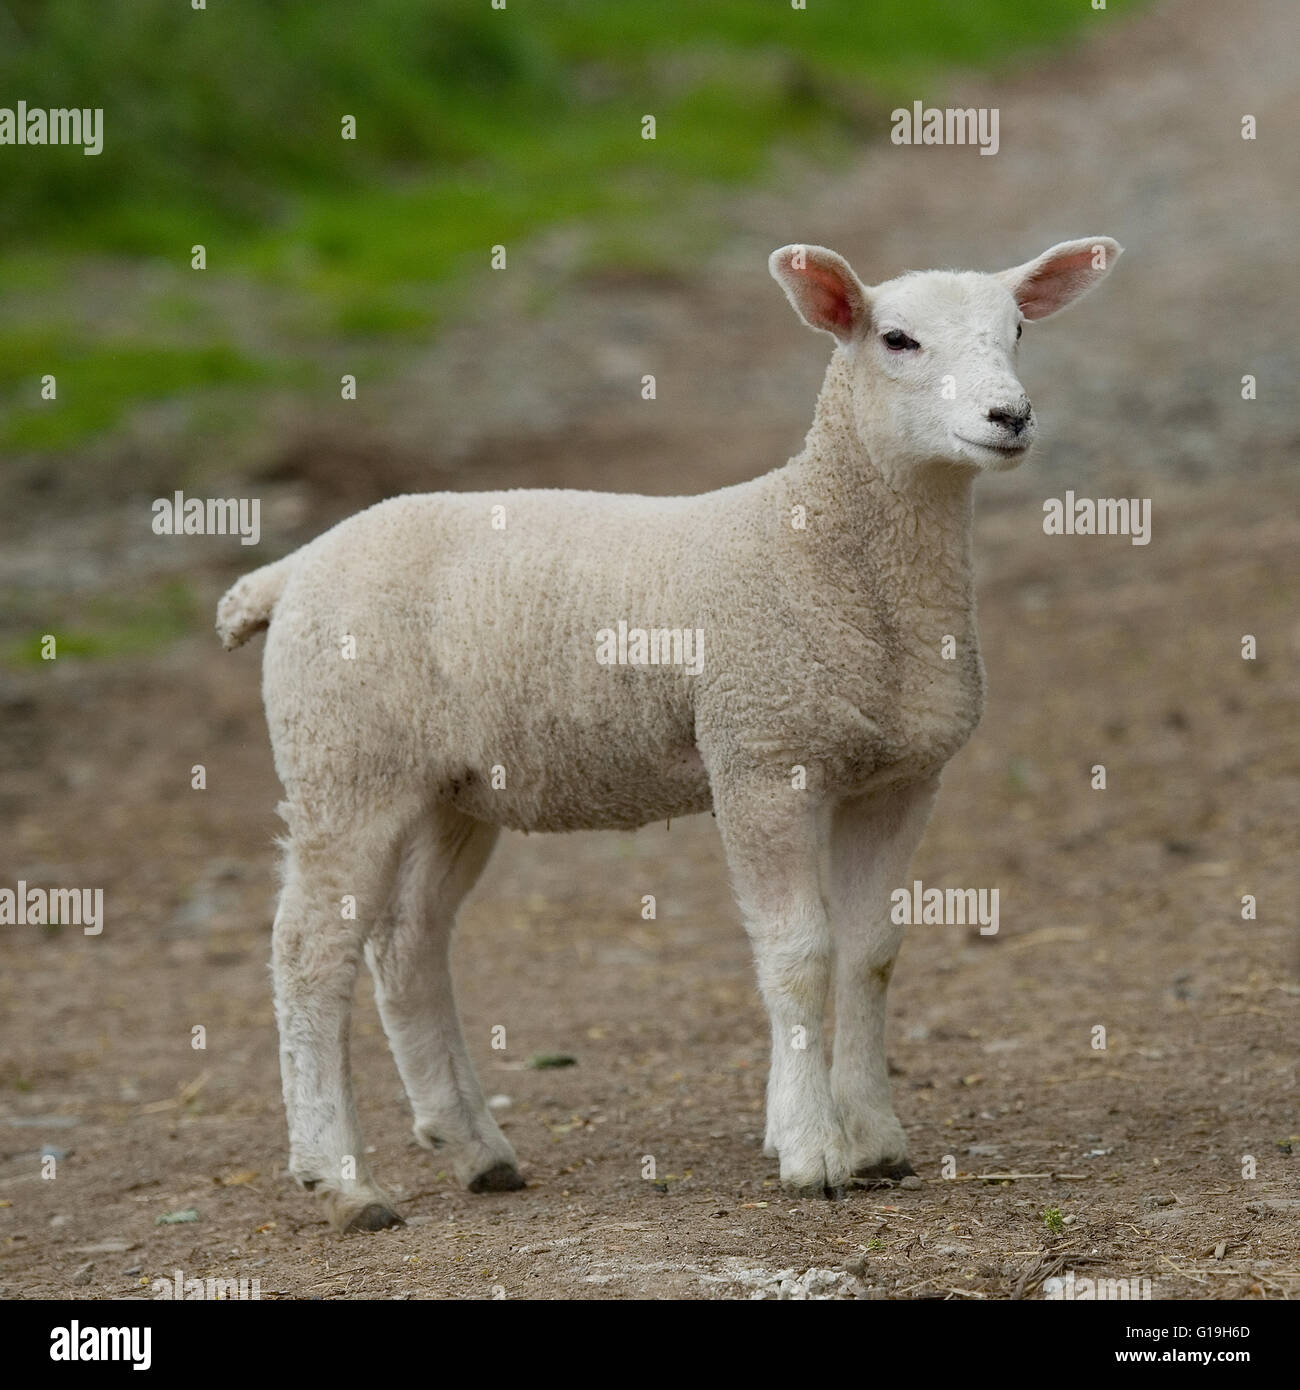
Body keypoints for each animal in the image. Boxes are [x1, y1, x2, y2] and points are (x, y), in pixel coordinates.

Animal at [221, 233, 1117, 1234]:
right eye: (897, 339)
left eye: (1017, 331)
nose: (1011, 417)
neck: (818, 543)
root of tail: (293, 570)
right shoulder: (760, 753)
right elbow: (799, 954)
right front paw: (813, 1153)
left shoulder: (899, 778)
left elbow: (871, 952)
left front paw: (876, 1139)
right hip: (342, 762)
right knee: (309, 957)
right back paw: (343, 1181)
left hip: (451, 787)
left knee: (408, 948)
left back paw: (476, 1150)